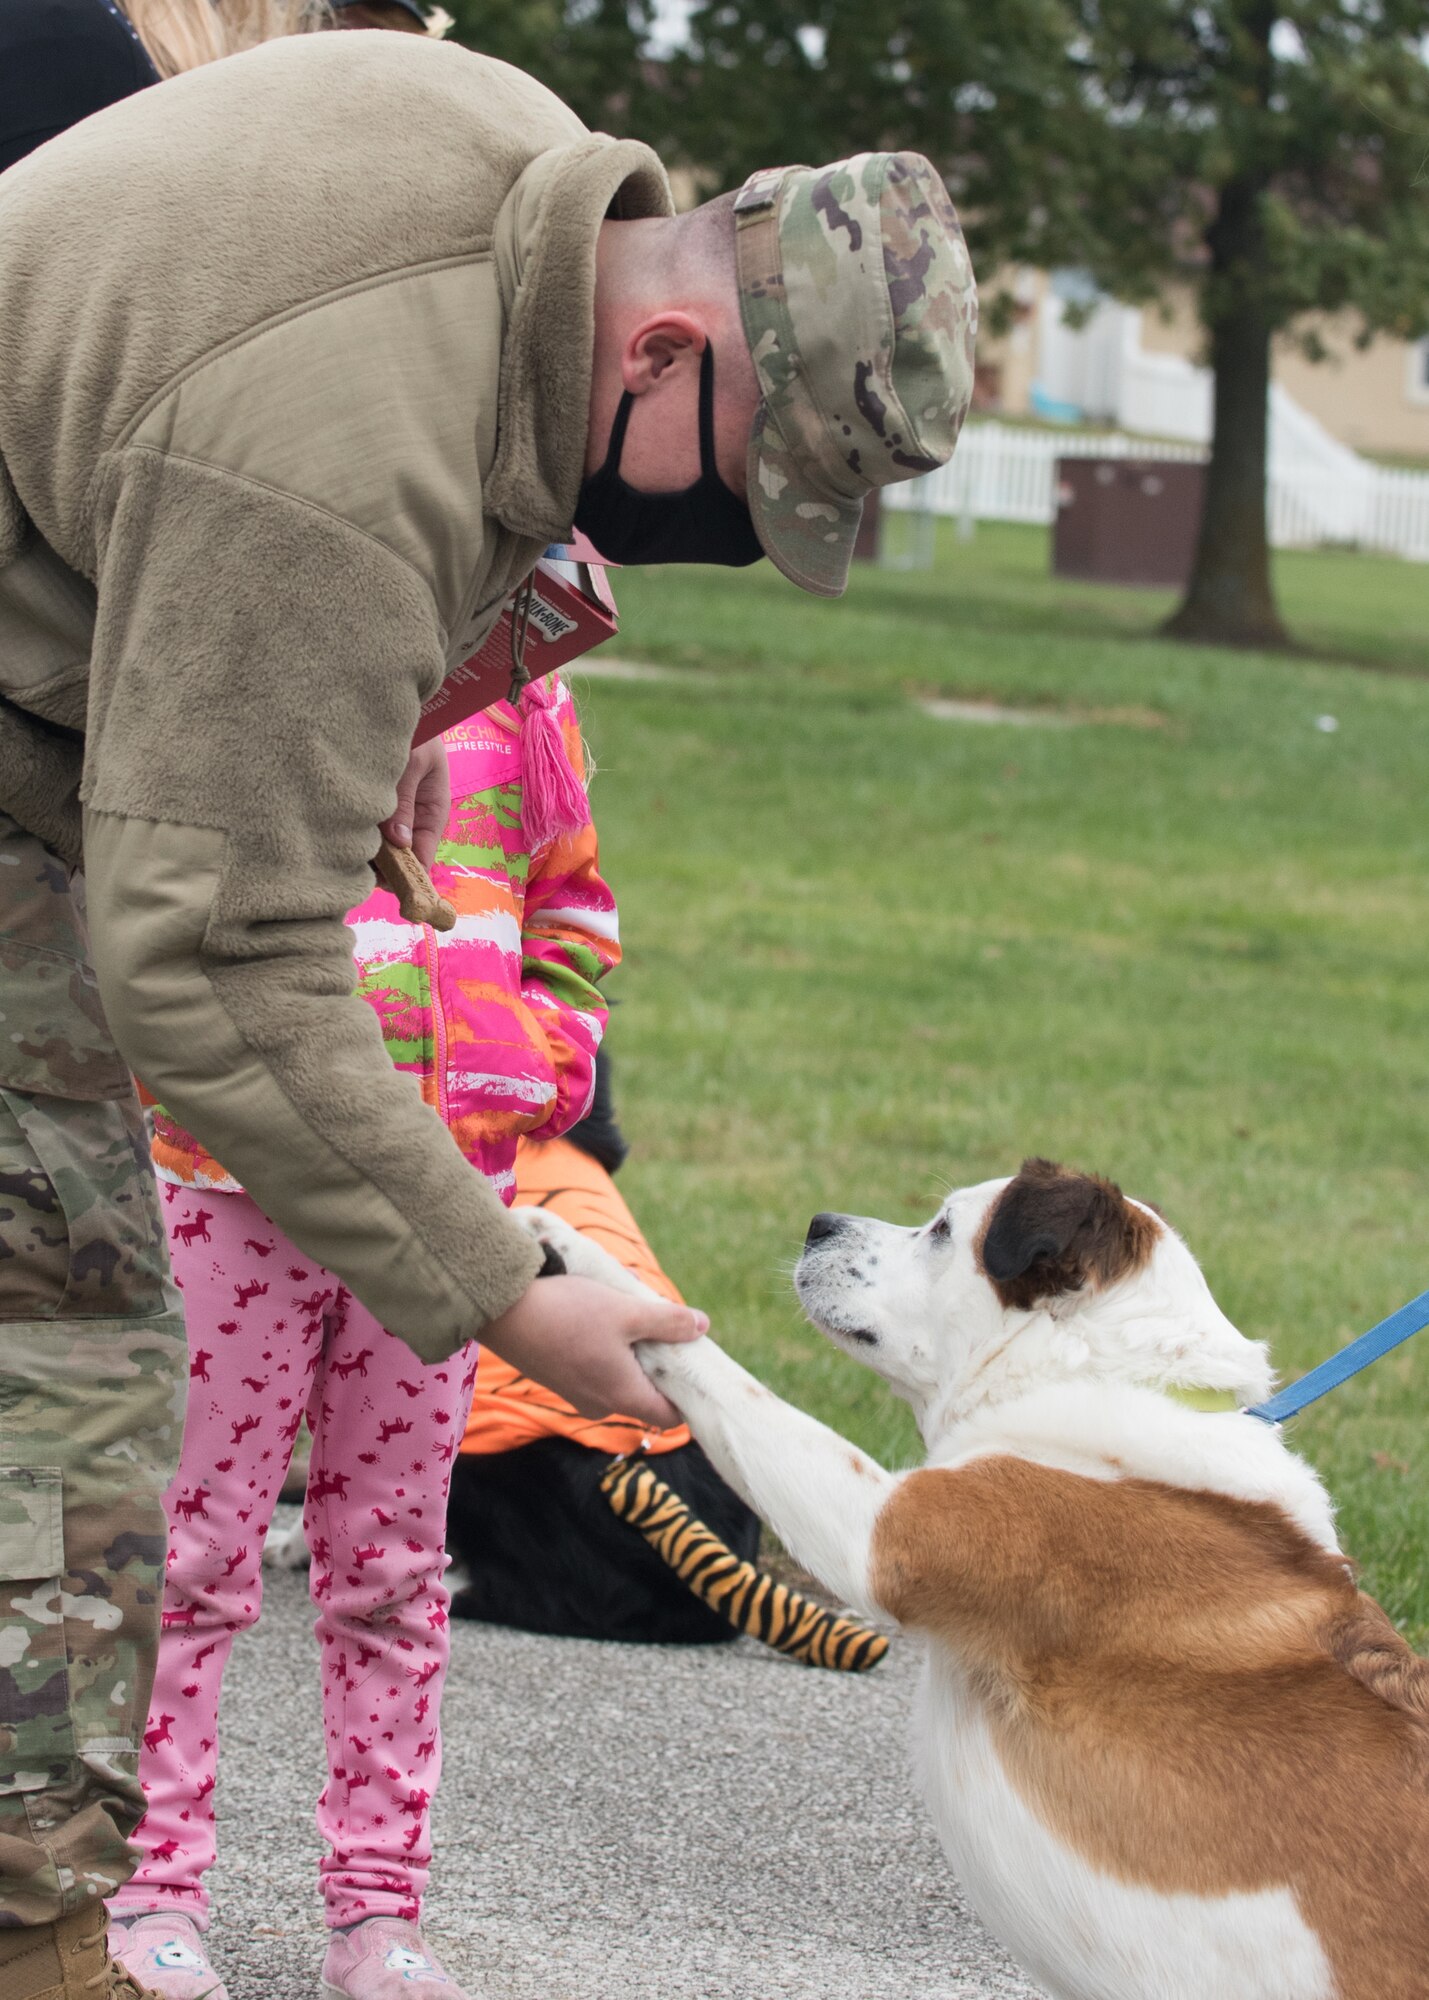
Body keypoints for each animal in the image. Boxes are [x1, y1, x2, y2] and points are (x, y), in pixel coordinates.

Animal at [516, 1160, 1424, 2000]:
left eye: (944, 1229)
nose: (818, 1223)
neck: (1101, 1375)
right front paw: (558, 1240)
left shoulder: (875, 1529)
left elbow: (717, 1366)